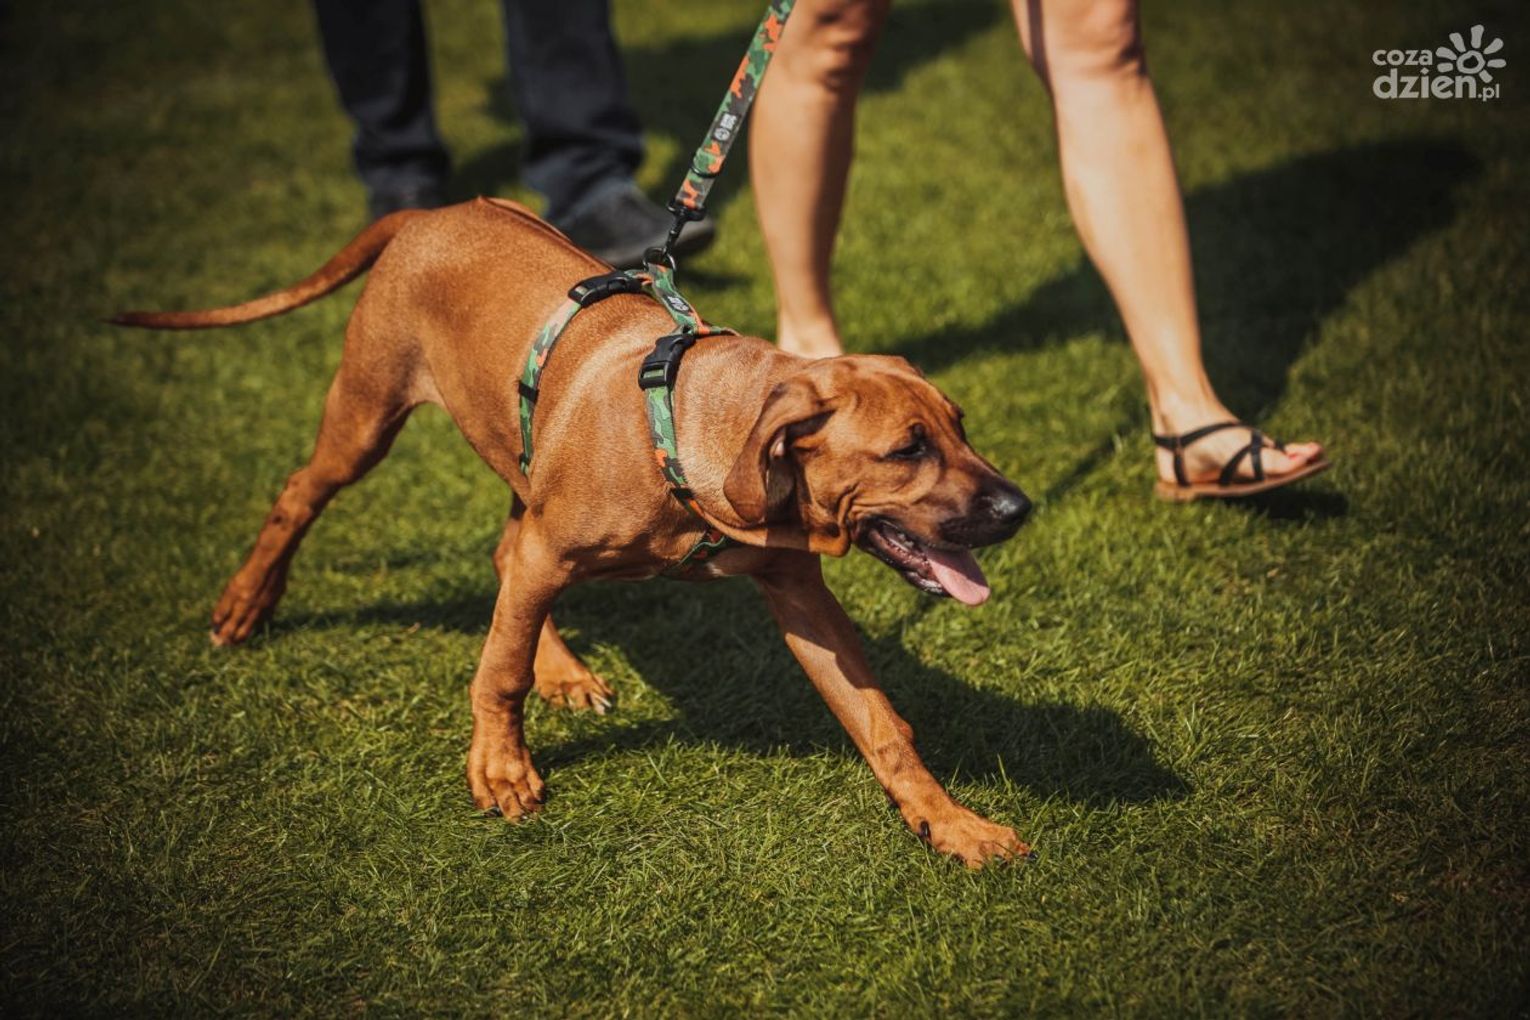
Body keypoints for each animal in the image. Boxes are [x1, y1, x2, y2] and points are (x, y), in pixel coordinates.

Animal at [114, 198, 1034, 867]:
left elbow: (882, 723)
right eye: (908, 450)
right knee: (301, 497)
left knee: (505, 560)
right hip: (366, 412)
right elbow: (498, 673)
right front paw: (500, 769)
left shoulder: (798, 591)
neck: (694, 430)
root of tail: (433, 209)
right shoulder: (555, 547)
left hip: (523, 462)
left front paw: (951, 824)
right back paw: (245, 605)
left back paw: (561, 667)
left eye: (960, 428)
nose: (1019, 508)